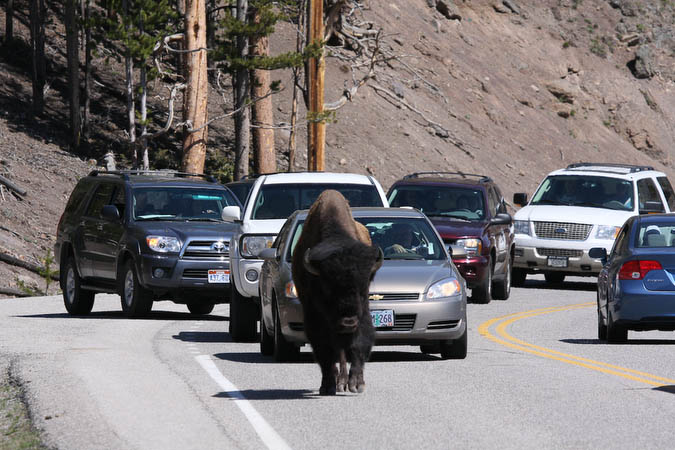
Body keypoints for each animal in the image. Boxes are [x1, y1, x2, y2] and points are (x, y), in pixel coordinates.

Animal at [292, 189, 382, 394]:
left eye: (363, 287)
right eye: (327, 288)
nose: (348, 322)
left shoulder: (362, 314)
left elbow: (358, 344)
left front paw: (357, 384)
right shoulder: (316, 316)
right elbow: (325, 351)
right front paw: (327, 385)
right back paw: (338, 382)